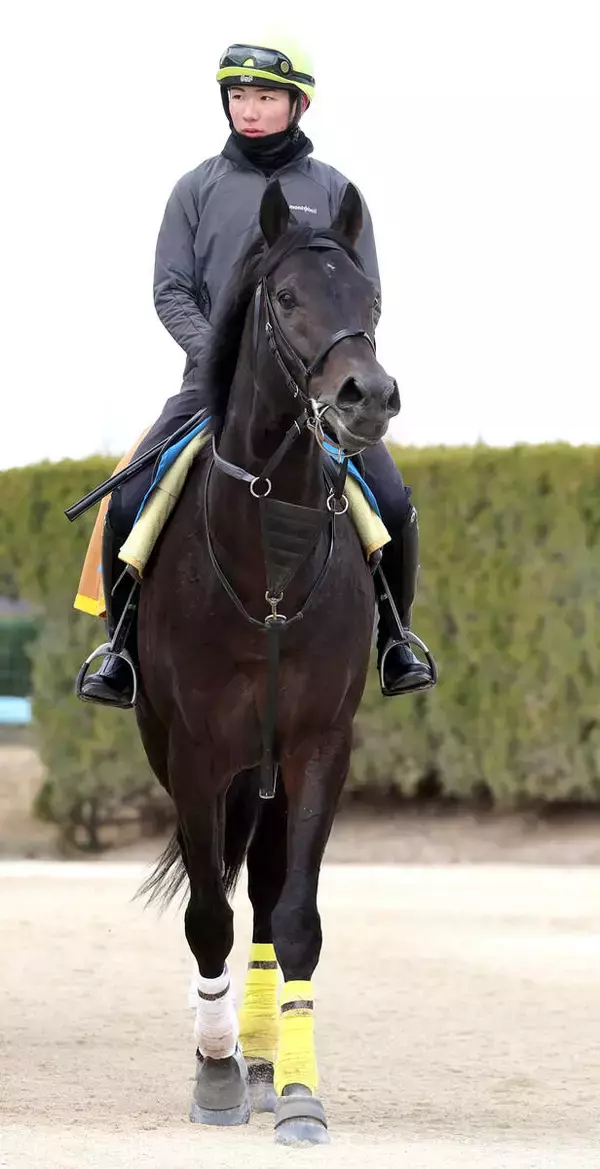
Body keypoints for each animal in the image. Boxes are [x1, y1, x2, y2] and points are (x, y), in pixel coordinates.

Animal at [134, 179, 400, 1145]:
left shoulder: (320, 743)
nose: (369, 395)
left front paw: (296, 1091)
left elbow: (293, 917)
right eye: (286, 298)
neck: (269, 561)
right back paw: (226, 1052)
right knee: (219, 890)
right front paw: (213, 1074)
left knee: (264, 889)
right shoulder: (194, 753)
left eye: (370, 298)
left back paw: (258, 1055)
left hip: (268, 767)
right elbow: (206, 914)